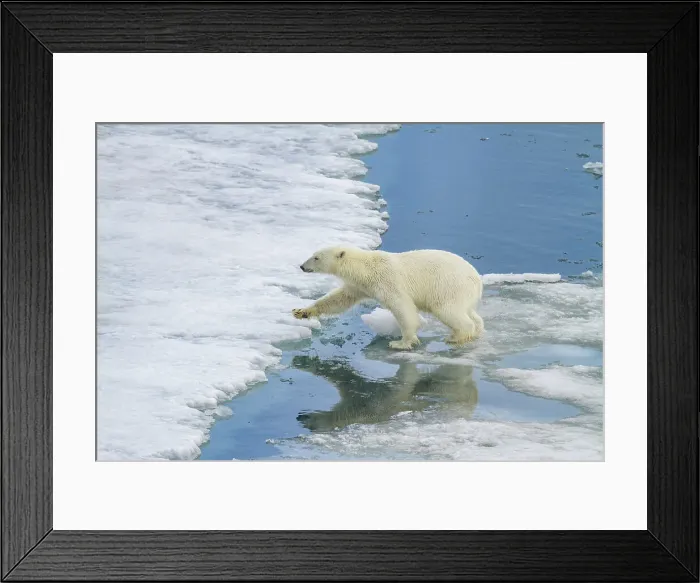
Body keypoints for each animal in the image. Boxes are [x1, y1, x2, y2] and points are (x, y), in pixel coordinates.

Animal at [292, 246, 484, 350]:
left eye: (316, 257)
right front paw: (301, 311)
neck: (365, 269)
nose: (302, 266)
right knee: (470, 313)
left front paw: (401, 343)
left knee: (447, 310)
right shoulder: (359, 286)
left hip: (448, 286)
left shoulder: (387, 281)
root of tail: (477, 280)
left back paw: (457, 337)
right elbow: (339, 299)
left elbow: (402, 307)